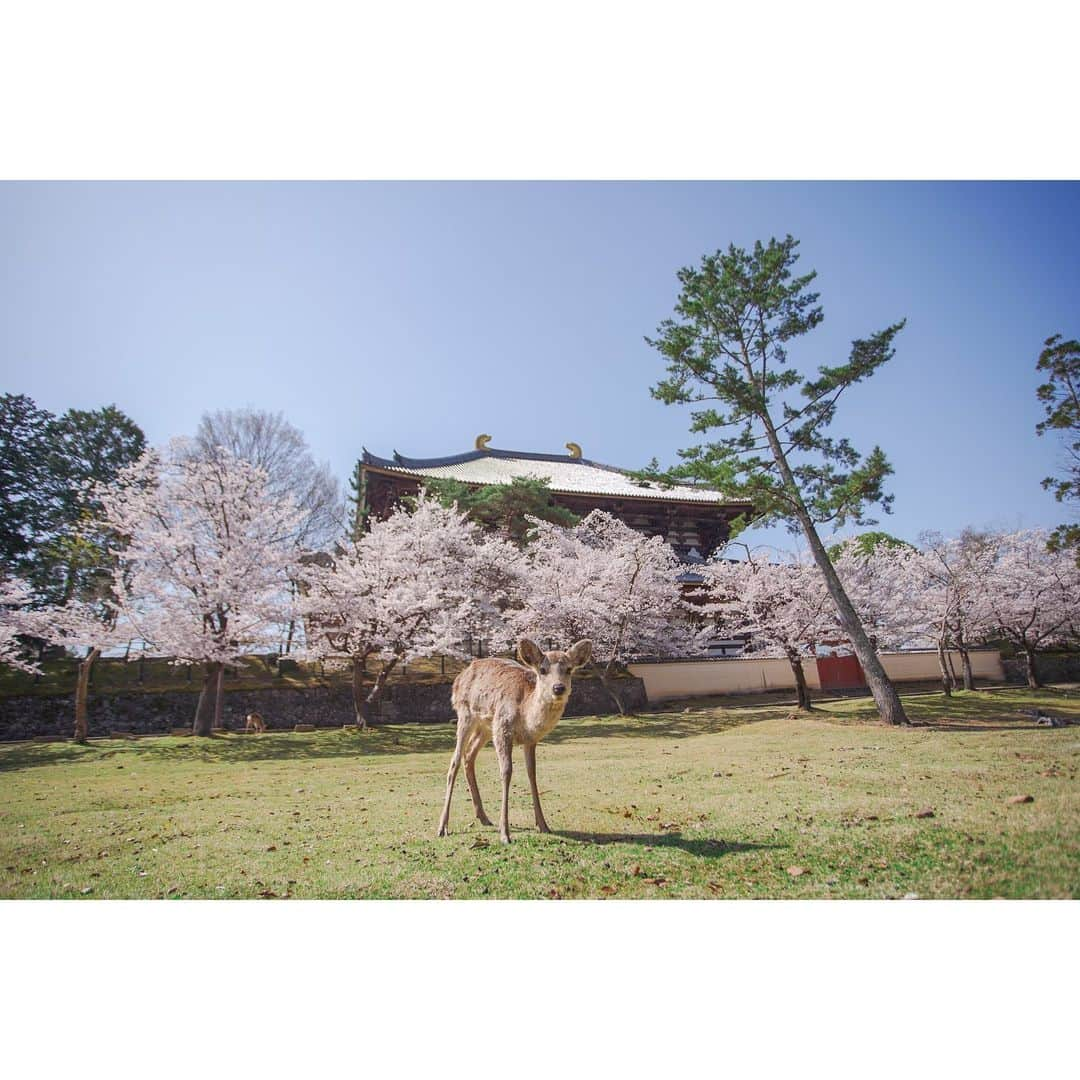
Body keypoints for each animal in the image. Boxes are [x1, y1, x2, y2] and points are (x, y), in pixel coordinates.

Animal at [436, 635, 591, 846]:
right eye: (542, 669)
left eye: (569, 669)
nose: (559, 688)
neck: (525, 713)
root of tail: (458, 679)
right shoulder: (503, 727)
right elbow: (507, 771)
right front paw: (505, 834)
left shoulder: (530, 739)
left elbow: (532, 773)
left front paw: (543, 825)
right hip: (466, 714)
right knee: (455, 761)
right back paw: (443, 827)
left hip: (486, 727)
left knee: (469, 756)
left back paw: (483, 817)